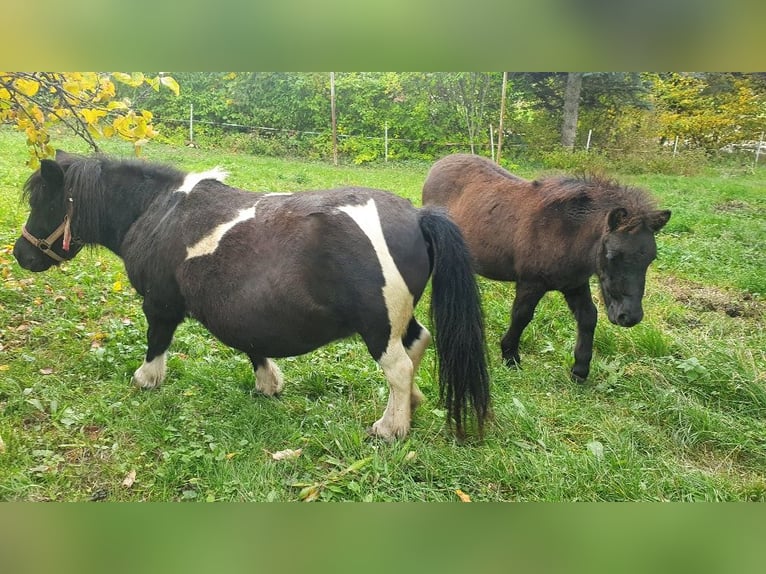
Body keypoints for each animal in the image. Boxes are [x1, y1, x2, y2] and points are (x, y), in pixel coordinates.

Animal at [15, 151, 492, 438]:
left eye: (43, 202)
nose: (21, 254)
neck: (158, 212)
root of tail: (417, 216)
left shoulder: (160, 304)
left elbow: (157, 343)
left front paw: (145, 380)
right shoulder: (243, 309)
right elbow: (252, 343)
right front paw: (268, 384)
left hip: (378, 326)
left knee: (397, 367)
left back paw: (390, 427)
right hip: (397, 320)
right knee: (417, 345)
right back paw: (410, 406)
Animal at [426, 153, 672, 382]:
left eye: (651, 258)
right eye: (612, 255)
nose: (629, 317)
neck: (565, 233)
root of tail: (440, 163)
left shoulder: (574, 285)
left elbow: (588, 317)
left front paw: (580, 370)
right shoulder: (530, 283)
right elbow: (522, 316)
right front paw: (510, 357)